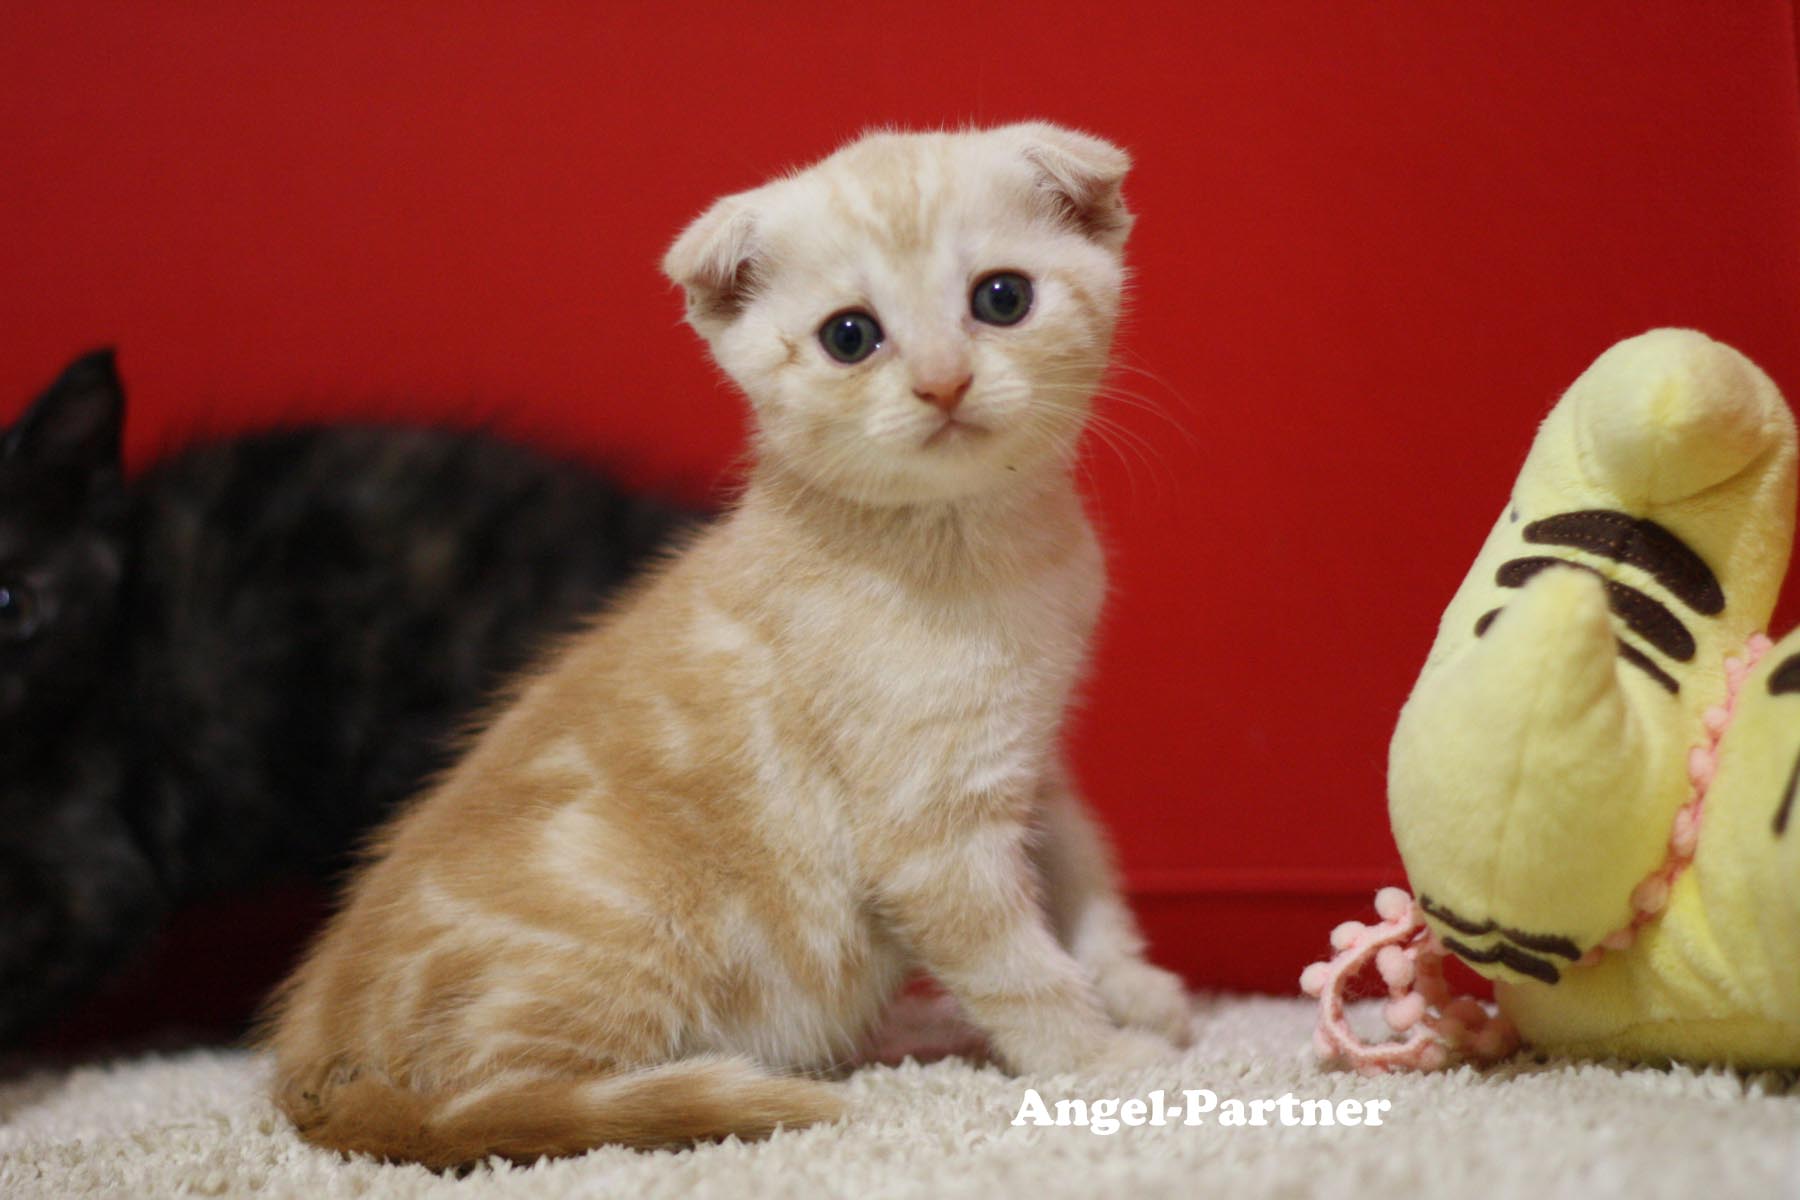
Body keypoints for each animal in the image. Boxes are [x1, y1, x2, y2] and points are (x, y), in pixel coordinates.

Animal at [261, 122, 1188, 1165]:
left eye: (1002, 298)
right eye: (850, 336)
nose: (943, 382)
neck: (980, 550)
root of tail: (315, 1066)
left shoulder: (1033, 753)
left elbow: (1082, 865)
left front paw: (1132, 985)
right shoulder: (929, 829)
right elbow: (1017, 966)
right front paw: (1103, 1059)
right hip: (611, 920)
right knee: (506, 1110)